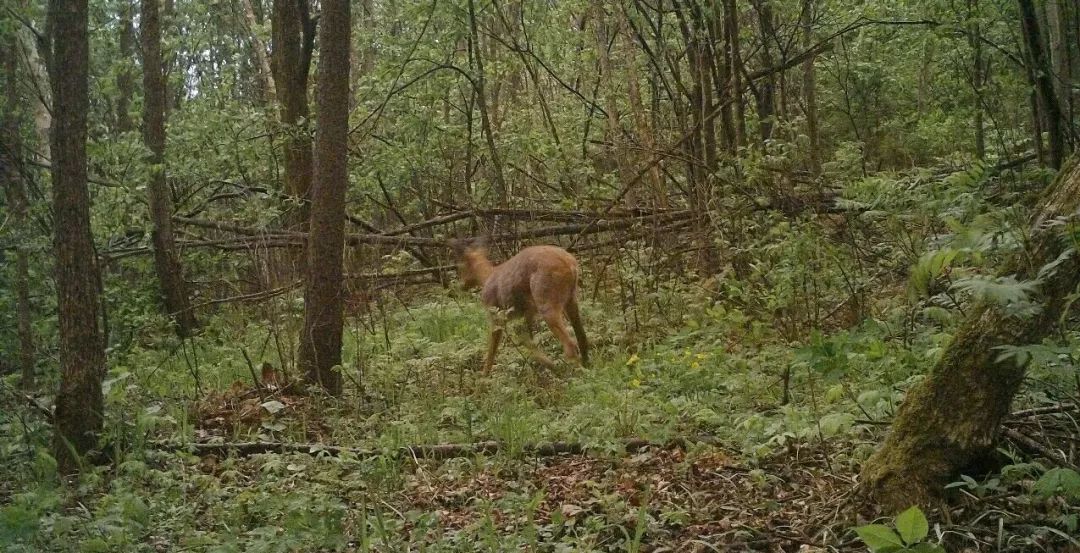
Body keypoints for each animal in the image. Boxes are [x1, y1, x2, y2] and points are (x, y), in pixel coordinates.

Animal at [449, 238, 591, 375]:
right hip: (571, 299)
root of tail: (570, 264)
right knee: (582, 337)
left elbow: (492, 350)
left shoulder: (495, 314)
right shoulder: (528, 313)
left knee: (570, 344)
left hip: (546, 300)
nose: (460, 286)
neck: (487, 276)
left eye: (459, 266)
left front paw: (483, 378)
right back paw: (585, 367)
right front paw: (544, 364)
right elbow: (529, 339)